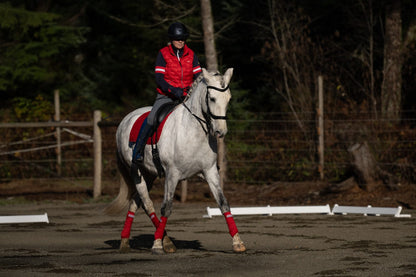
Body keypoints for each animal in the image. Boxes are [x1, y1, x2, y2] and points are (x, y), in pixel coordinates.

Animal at [105, 68, 245, 253]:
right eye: (212, 98)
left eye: (228, 98)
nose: (221, 131)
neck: (193, 131)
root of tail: (125, 120)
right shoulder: (172, 175)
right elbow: (167, 207)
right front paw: (157, 244)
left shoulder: (210, 172)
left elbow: (224, 204)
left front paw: (237, 242)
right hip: (136, 172)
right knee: (147, 203)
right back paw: (164, 241)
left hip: (149, 175)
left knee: (136, 202)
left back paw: (126, 240)